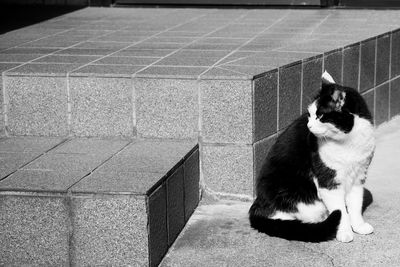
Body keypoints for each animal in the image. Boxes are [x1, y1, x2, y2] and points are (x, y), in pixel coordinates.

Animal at [250, 72, 376, 244]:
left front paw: (359, 226)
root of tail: (258, 202)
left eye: (321, 116)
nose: (308, 126)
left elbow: (355, 204)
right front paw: (344, 232)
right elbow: (340, 212)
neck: (348, 143)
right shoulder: (328, 182)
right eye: (310, 114)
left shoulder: (359, 175)